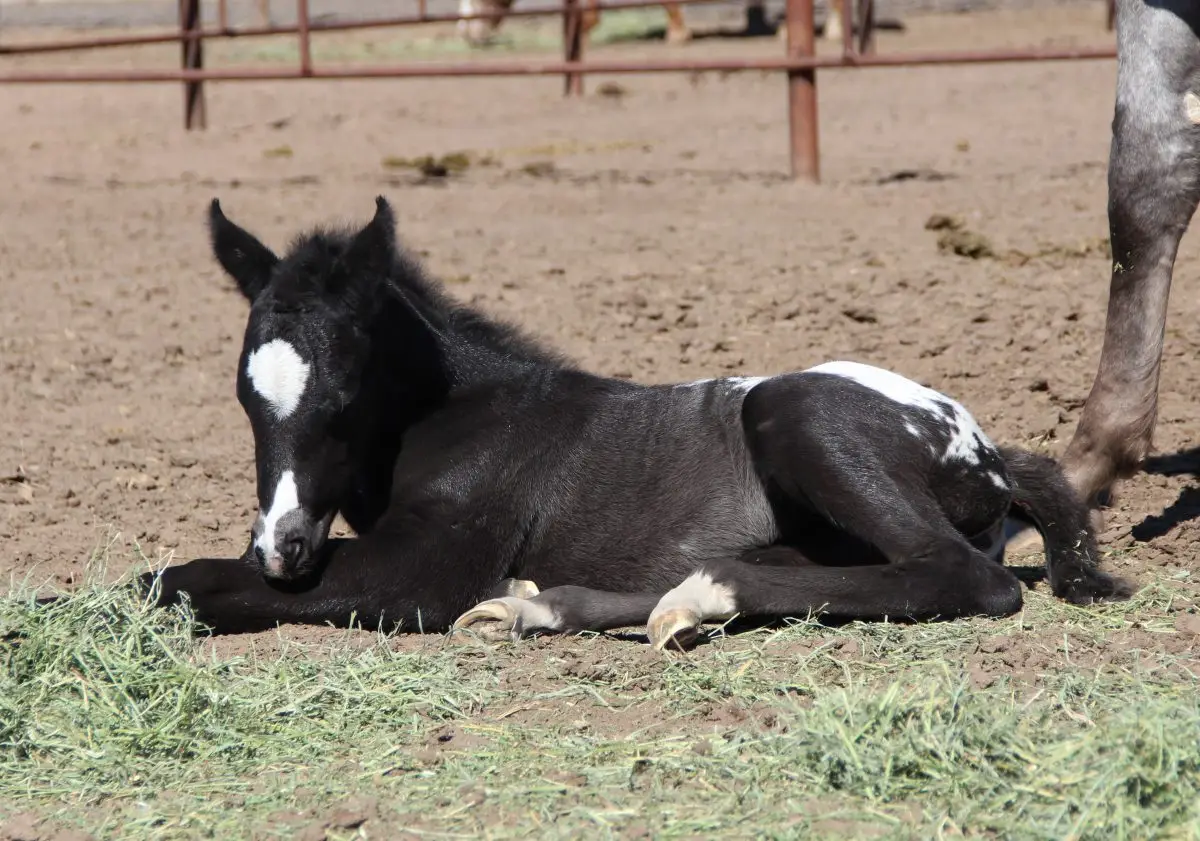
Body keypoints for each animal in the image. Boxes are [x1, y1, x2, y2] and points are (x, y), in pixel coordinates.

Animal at [141, 197, 1128, 650]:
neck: (458, 416)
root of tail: (988, 454)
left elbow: (176, 580)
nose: (283, 548)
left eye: (343, 397)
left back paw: (696, 595)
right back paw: (559, 604)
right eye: (243, 396)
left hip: (795, 409)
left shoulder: (420, 573)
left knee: (960, 575)